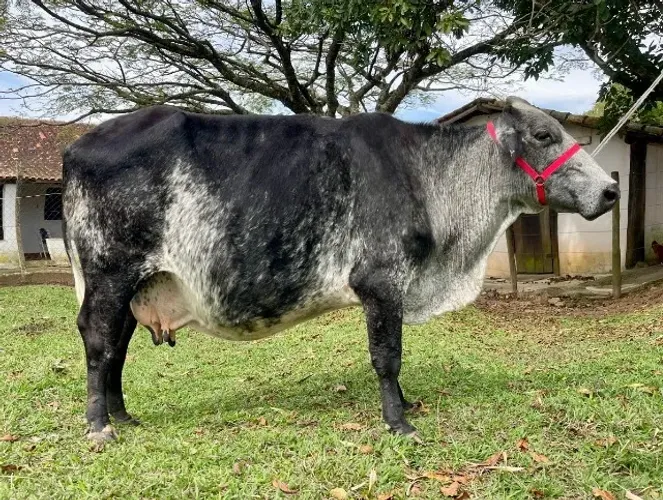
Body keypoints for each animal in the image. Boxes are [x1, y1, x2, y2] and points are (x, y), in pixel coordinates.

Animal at [62, 97, 619, 443]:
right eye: (543, 134)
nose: (611, 190)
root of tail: (77, 146)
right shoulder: (380, 281)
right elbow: (387, 357)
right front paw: (399, 423)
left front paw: (406, 407)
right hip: (109, 273)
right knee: (98, 342)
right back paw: (99, 426)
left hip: (138, 284)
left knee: (117, 347)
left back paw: (123, 414)